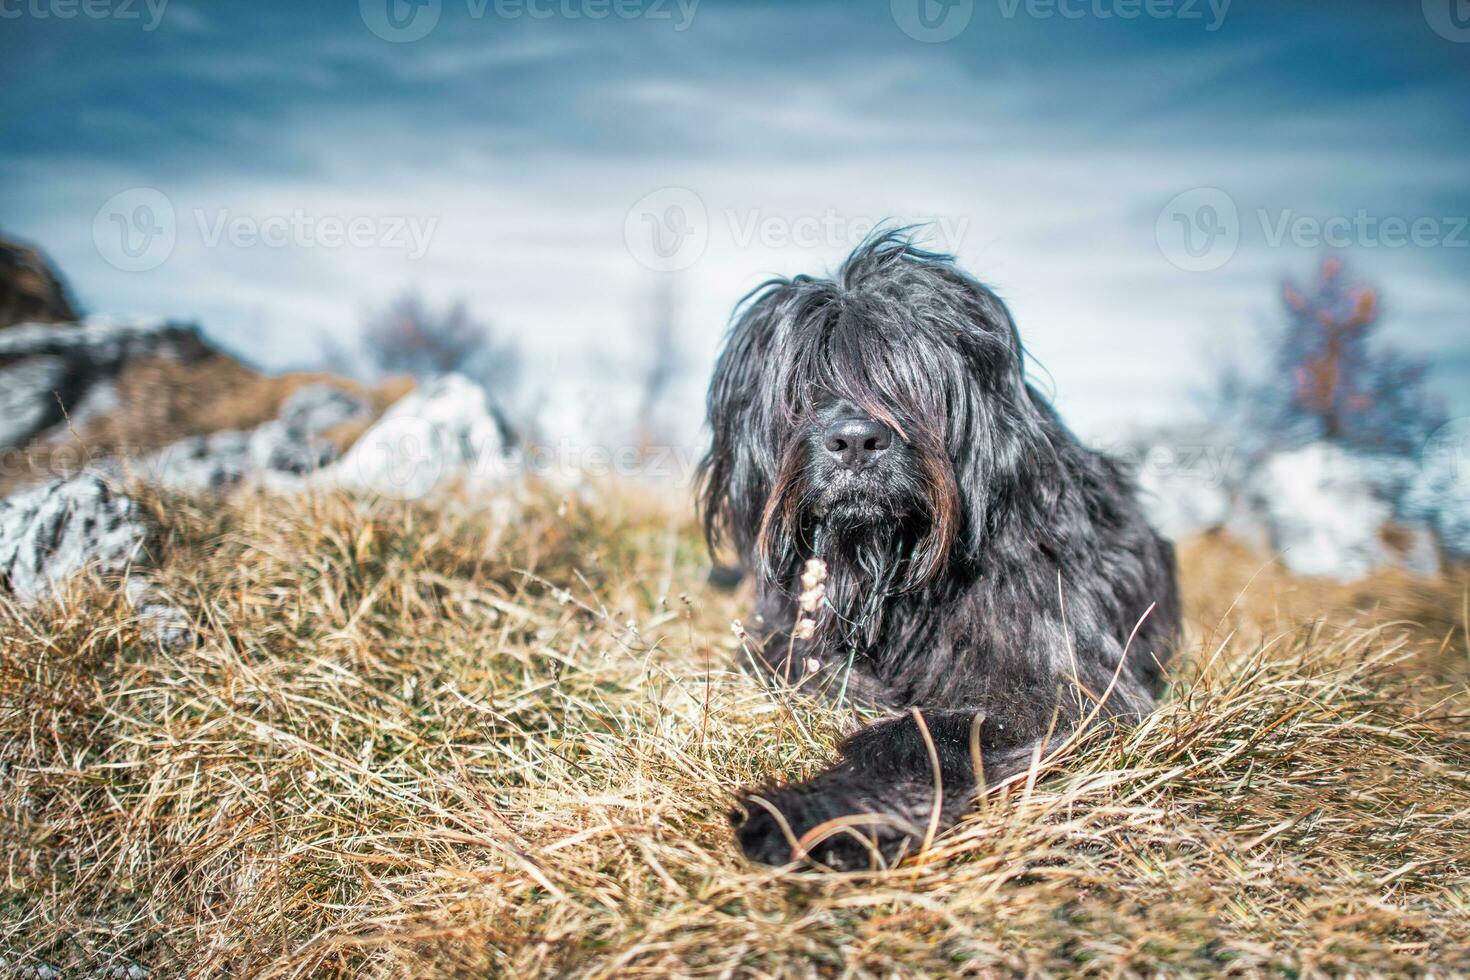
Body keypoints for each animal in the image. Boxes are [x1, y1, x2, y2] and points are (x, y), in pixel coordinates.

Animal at [699, 233, 1181, 869]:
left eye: (908, 377)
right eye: (805, 382)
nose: (856, 440)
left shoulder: (1061, 683)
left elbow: (917, 736)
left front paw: (808, 815)